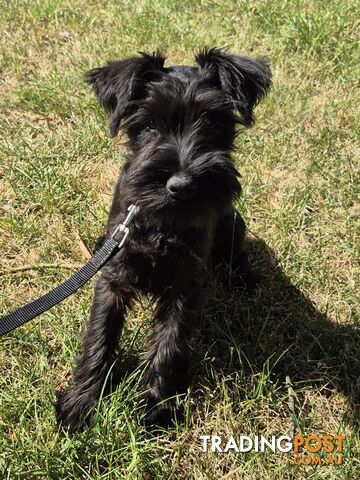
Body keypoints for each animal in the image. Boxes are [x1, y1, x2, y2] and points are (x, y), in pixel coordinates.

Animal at [55, 47, 270, 432]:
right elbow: (99, 337)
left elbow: (169, 345)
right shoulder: (113, 280)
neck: (163, 225)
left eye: (213, 122)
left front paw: (156, 406)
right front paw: (80, 403)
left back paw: (246, 279)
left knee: (237, 254)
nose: (181, 186)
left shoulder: (184, 286)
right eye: (149, 126)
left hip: (234, 223)